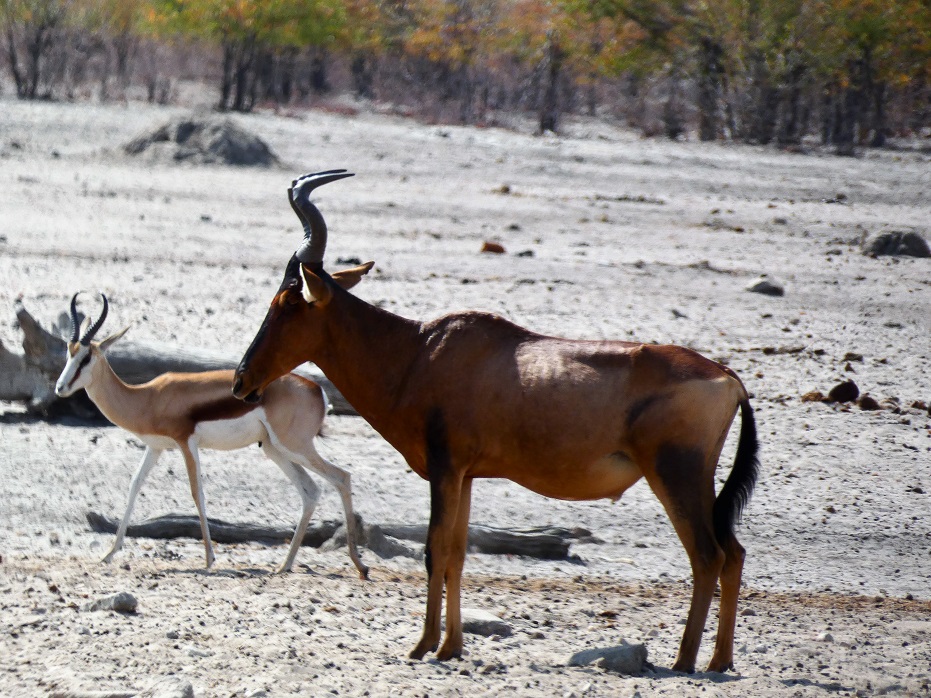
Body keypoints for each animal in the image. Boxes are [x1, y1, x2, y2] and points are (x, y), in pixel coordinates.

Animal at [53, 290, 368, 576]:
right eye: (68, 352)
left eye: (87, 357)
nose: (60, 387)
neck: (148, 398)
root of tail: (317, 390)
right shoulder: (156, 447)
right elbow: (134, 486)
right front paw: (109, 553)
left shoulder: (186, 443)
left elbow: (197, 493)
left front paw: (209, 559)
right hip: (274, 448)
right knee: (310, 491)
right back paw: (284, 565)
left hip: (295, 446)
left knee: (341, 477)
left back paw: (359, 565)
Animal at [231, 169, 756, 668]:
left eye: (287, 301)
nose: (241, 381)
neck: (419, 351)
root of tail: (728, 378)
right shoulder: (465, 475)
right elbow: (457, 555)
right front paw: (450, 647)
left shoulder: (444, 469)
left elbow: (434, 550)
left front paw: (422, 646)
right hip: (697, 481)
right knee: (732, 553)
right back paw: (719, 661)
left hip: (674, 475)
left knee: (707, 555)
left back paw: (684, 660)